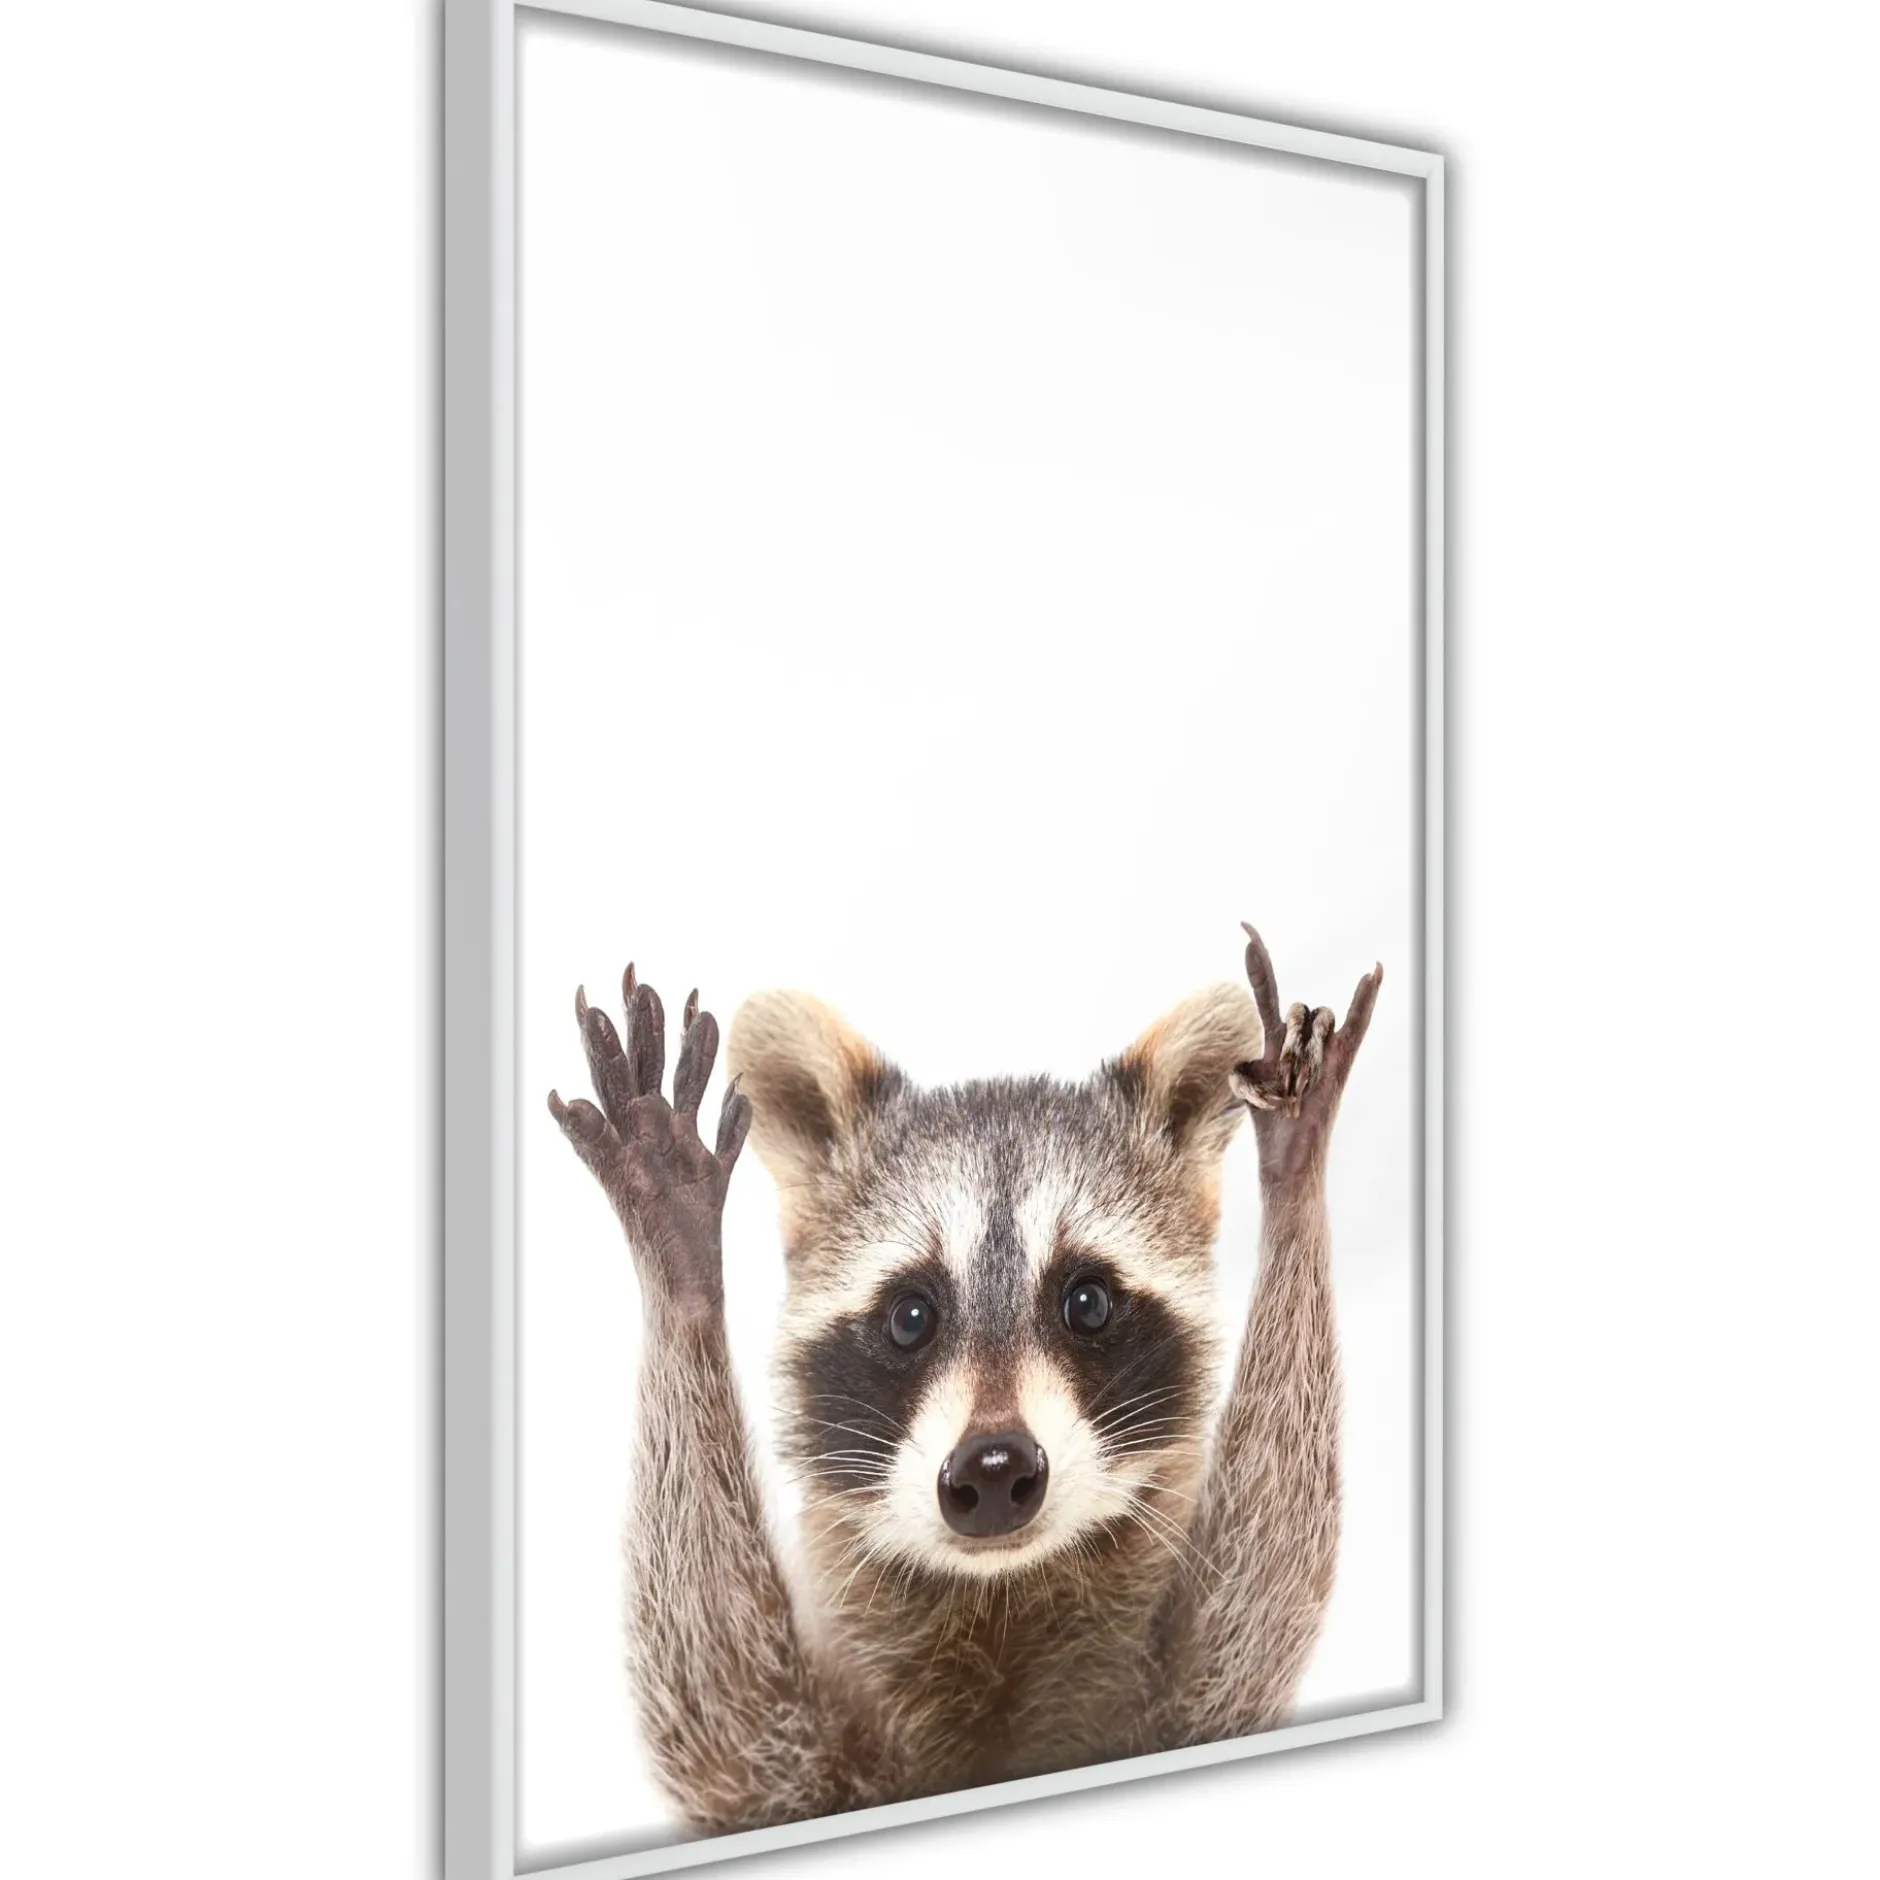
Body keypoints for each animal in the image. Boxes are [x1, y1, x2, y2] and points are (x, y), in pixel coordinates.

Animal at [547, 923, 1381, 1835]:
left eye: (1087, 1302)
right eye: (911, 1316)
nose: (993, 1469)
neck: (999, 1600)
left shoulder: (1176, 1700)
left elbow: (1256, 1609)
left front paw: (1295, 1170)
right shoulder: (796, 1760)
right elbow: (722, 1718)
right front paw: (680, 1261)